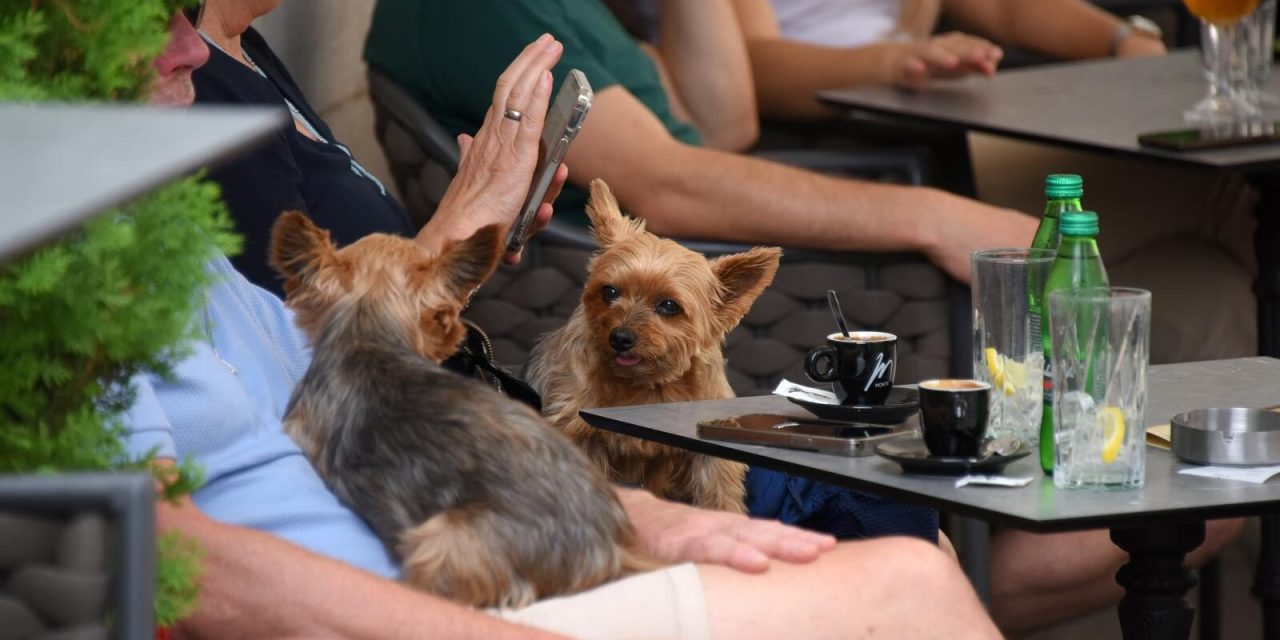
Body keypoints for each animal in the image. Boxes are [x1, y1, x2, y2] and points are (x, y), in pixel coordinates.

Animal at [527, 183, 778, 512]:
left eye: (669, 306)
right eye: (609, 292)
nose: (620, 337)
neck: (647, 386)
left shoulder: (709, 456)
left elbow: (719, 493)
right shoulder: (579, 432)